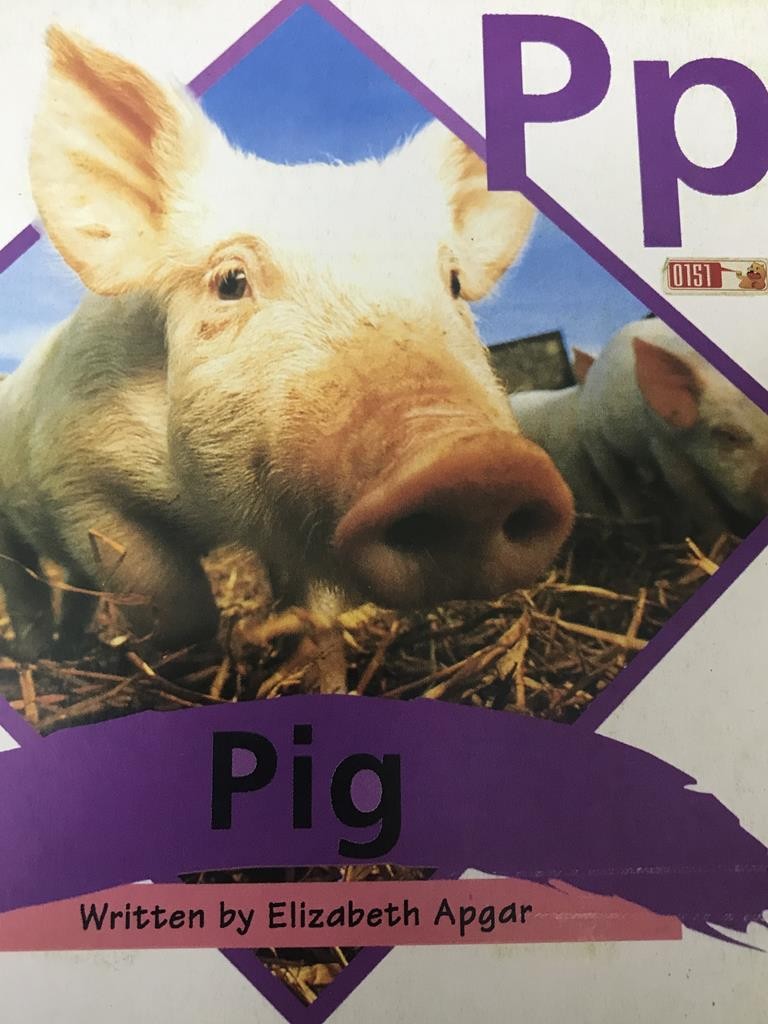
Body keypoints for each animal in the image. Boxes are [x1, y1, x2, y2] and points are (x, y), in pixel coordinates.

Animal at [0, 29, 574, 661]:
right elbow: (169, 596)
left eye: (452, 282)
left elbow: (314, 595)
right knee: (26, 578)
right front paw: (208, 646)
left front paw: (288, 635)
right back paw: (38, 652)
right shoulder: (77, 481)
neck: (210, 520)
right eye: (230, 281)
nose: (475, 464)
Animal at [511, 317, 768, 539]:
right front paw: (719, 544)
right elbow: (695, 497)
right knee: (619, 486)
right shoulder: (661, 440)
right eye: (730, 436)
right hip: (597, 443)